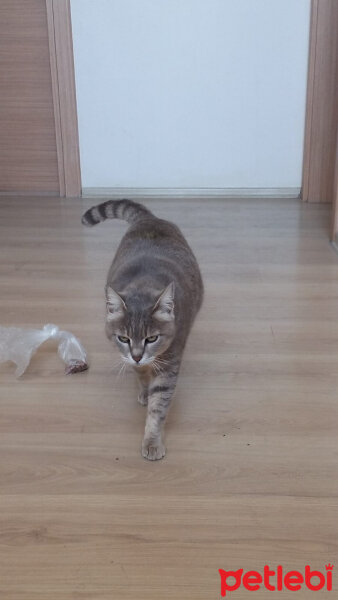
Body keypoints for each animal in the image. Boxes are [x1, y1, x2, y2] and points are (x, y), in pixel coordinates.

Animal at [82, 200, 203, 460]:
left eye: (152, 338)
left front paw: (152, 441)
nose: (137, 355)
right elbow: (141, 377)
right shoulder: (128, 358)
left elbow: (158, 407)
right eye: (123, 338)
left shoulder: (170, 362)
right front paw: (145, 391)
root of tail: (149, 217)